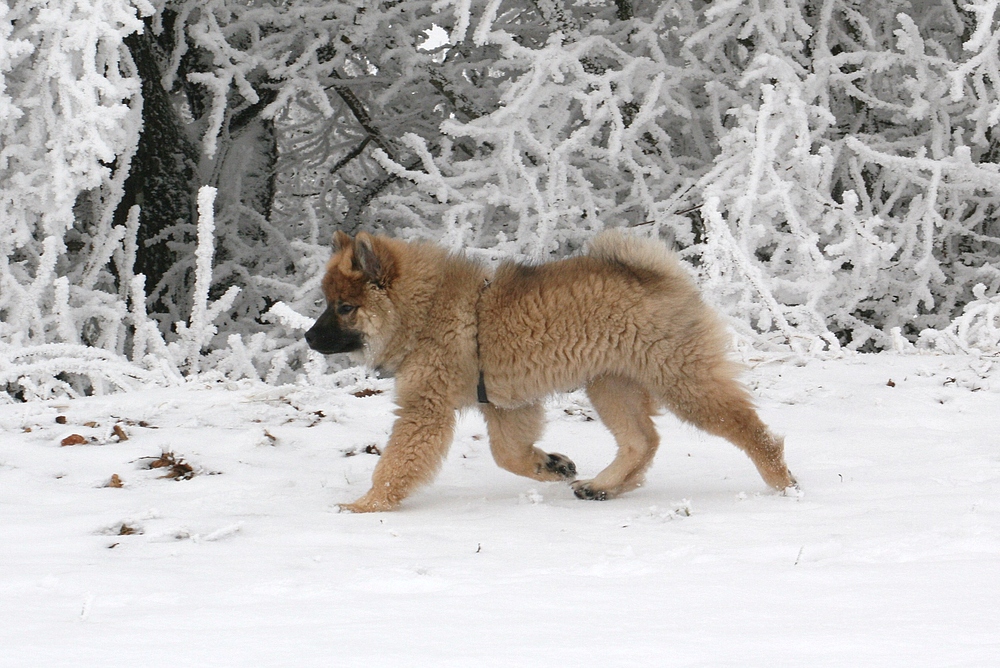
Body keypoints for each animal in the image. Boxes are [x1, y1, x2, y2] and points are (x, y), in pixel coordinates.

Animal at [304, 230, 796, 512]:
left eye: (345, 308)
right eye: (328, 303)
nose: (308, 338)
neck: (425, 310)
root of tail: (661, 276)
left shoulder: (427, 409)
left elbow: (394, 465)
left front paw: (364, 506)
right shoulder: (504, 405)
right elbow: (509, 455)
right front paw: (552, 466)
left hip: (680, 380)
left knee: (751, 430)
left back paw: (781, 483)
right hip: (611, 384)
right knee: (642, 441)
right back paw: (603, 487)